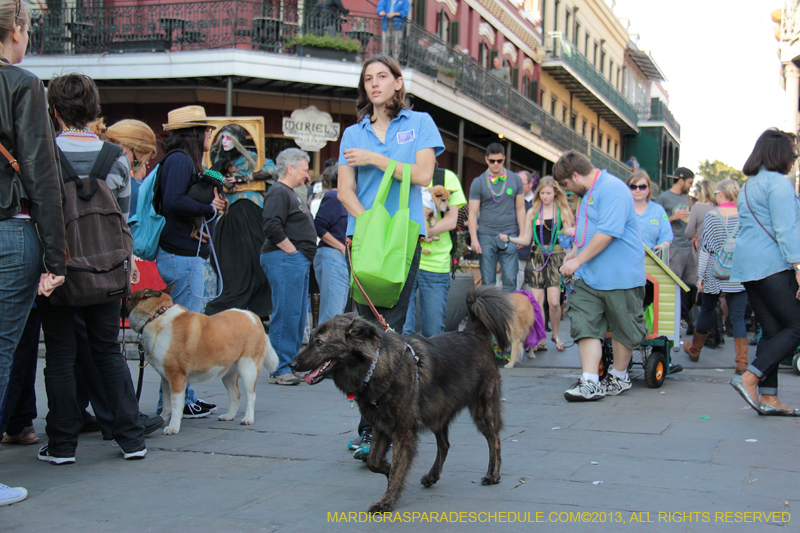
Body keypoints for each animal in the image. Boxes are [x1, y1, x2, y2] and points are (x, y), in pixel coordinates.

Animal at [123, 286, 276, 432]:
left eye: (129, 298)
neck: (156, 316)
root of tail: (253, 316)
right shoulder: (166, 379)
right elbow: (166, 403)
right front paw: (162, 419)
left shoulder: (176, 377)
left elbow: (175, 405)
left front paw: (173, 427)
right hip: (227, 372)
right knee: (235, 395)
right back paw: (229, 416)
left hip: (248, 368)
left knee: (251, 395)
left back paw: (248, 418)